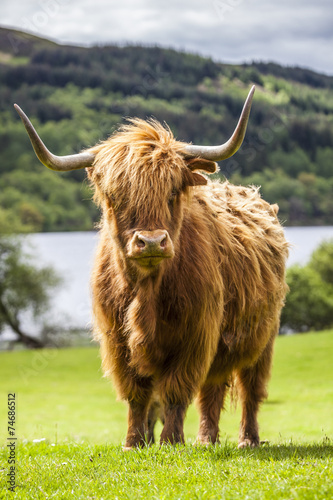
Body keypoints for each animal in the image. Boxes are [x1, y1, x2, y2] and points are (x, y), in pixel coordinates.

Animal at [14, 86, 288, 450]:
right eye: (115, 197)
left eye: (172, 192)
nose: (152, 242)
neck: (147, 290)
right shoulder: (117, 340)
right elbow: (137, 394)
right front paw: (134, 441)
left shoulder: (195, 336)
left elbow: (175, 390)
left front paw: (171, 441)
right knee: (213, 389)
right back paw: (206, 439)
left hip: (264, 337)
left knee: (249, 389)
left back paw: (245, 439)